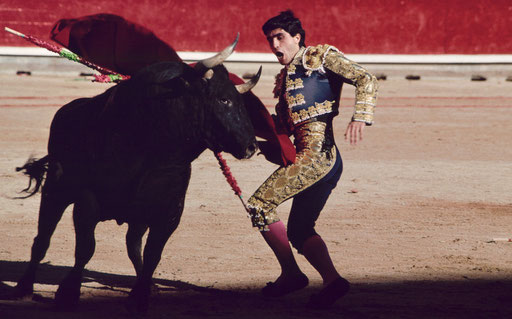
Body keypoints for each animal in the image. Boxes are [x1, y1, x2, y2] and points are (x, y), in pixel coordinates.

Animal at [9, 58, 260, 312]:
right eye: (224, 99)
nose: (252, 146)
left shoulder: (168, 214)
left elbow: (152, 254)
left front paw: (139, 298)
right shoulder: (87, 203)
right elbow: (86, 248)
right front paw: (67, 295)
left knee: (133, 245)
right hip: (55, 192)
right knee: (43, 239)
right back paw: (23, 288)